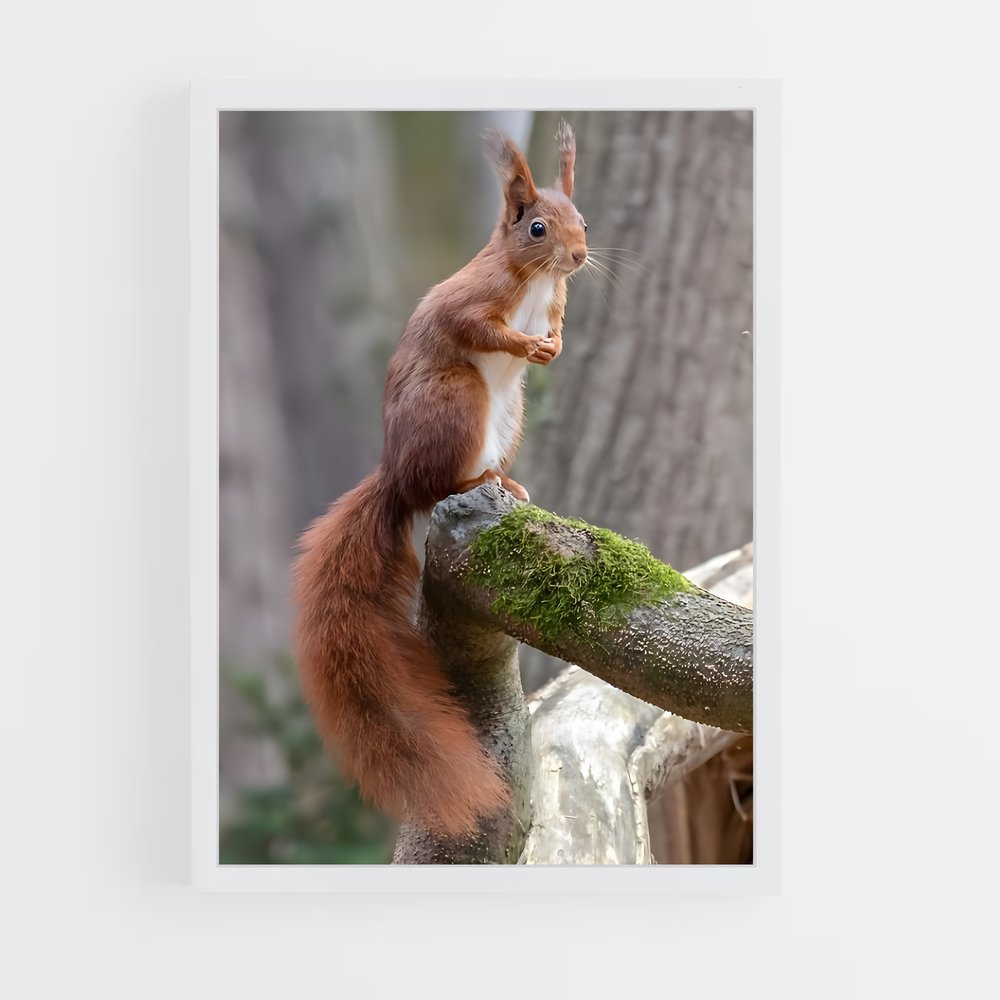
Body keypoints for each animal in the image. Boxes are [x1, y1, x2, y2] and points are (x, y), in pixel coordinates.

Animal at [292, 121, 588, 837]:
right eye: (537, 227)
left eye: (584, 219)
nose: (579, 256)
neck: (536, 281)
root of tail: (394, 477)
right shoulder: (472, 298)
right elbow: (473, 325)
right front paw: (526, 345)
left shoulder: (557, 298)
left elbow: (559, 321)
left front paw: (554, 343)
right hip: (457, 401)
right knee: (434, 490)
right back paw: (469, 484)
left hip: (509, 418)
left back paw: (506, 484)